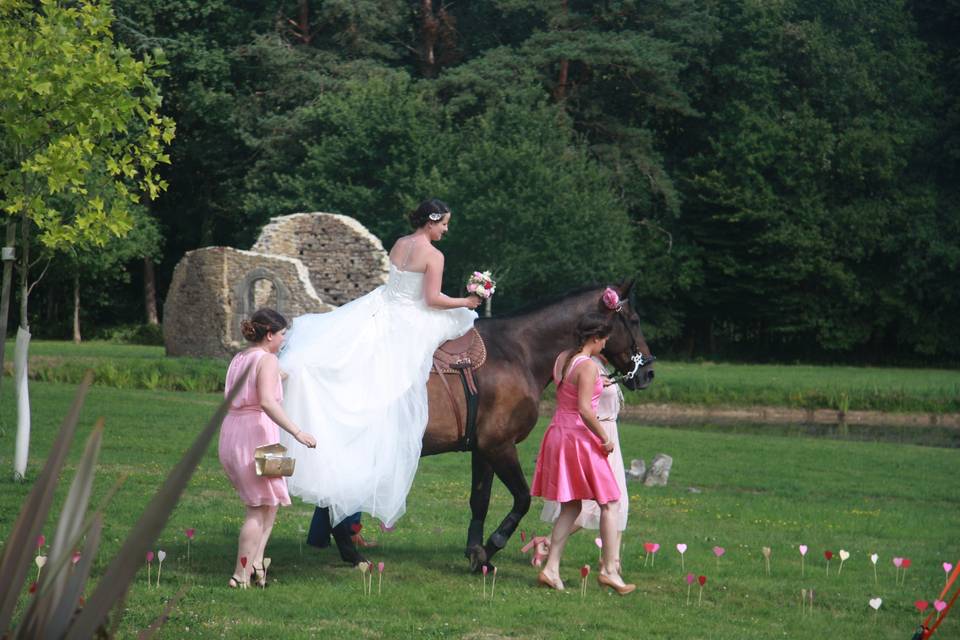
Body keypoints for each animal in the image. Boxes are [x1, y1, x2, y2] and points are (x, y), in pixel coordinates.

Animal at [420, 280, 660, 568]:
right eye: (634, 320)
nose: (649, 372)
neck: (516, 352)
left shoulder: (482, 449)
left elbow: (480, 499)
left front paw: (477, 553)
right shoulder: (498, 445)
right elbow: (523, 498)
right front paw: (492, 544)